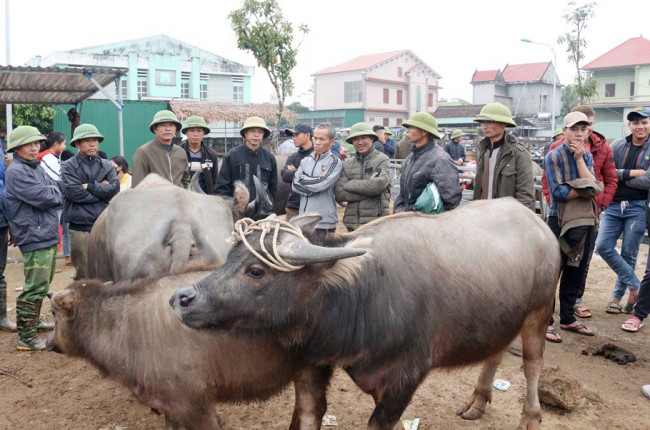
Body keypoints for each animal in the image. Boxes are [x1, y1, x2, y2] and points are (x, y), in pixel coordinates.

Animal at [46, 268, 330, 430]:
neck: (127, 327)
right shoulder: (169, 404)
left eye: (53, 313)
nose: (49, 344)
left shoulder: (194, 404)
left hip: (311, 369)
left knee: (310, 412)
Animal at [170, 198, 560, 430]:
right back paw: (477, 402)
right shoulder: (327, 368)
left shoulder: (404, 380)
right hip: (501, 317)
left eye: (255, 271)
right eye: (230, 256)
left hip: (539, 312)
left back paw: (531, 416)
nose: (182, 298)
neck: (362, 296)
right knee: (494, 352)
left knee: (532, 364)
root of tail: (535, 221)